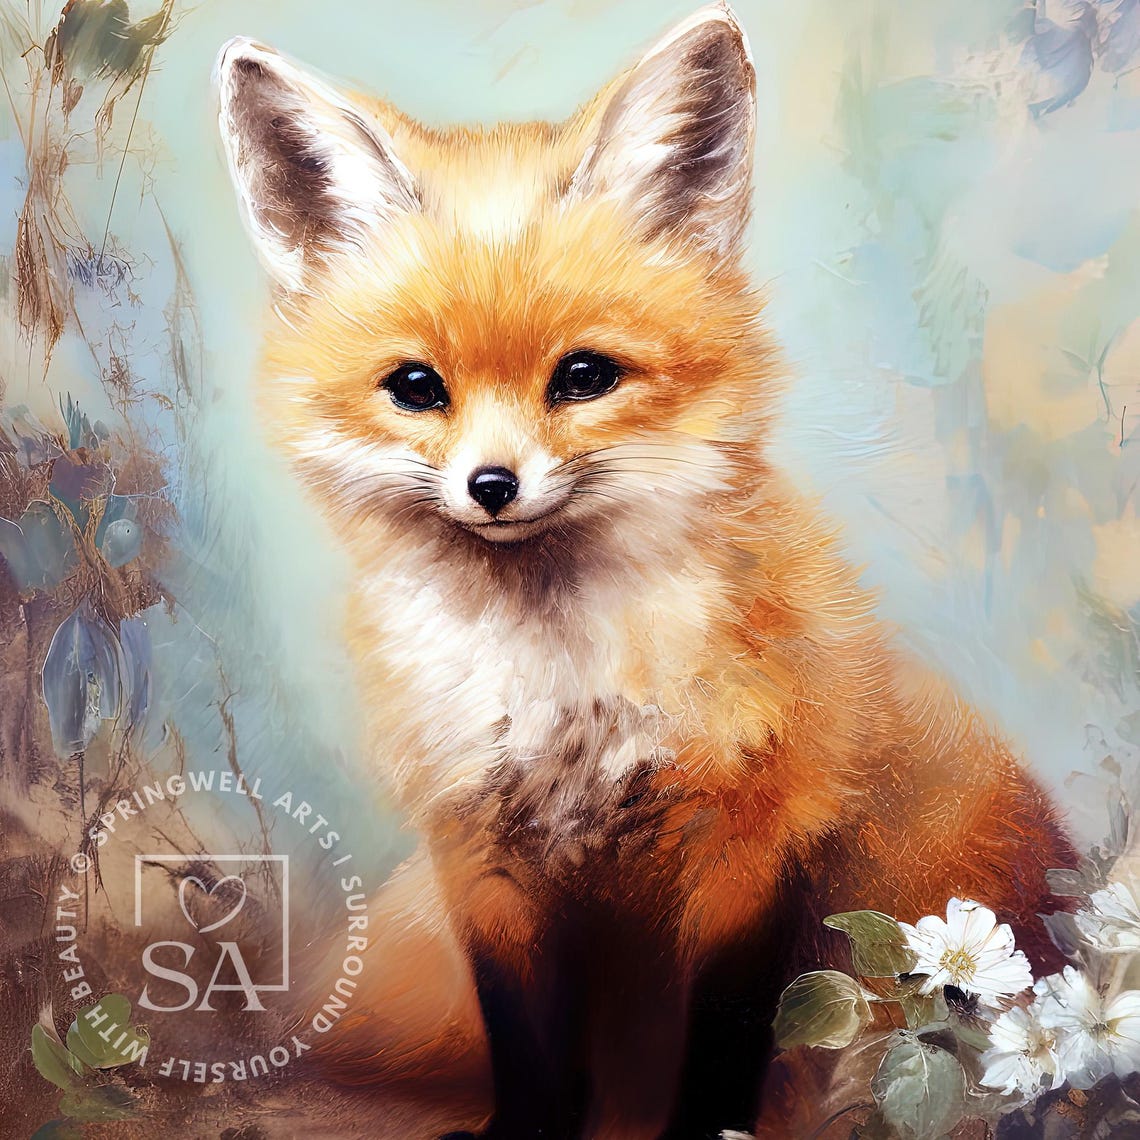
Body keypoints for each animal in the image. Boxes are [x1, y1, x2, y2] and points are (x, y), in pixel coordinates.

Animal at [216, 6, 1075, 1138]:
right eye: (416, 387)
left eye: (584, 376)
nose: (492, 484)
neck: (562, 687)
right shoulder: (481, 854)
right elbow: (525, 1038)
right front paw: (523, 1132)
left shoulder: (751, 844)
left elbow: (726, 1029)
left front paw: (708, 1128)